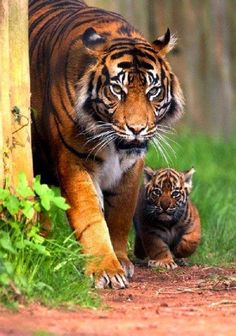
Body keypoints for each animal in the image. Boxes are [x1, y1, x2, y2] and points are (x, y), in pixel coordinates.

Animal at [29, 0, 184, 288]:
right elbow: (90, 218)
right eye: (117, 90)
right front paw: (106, 270)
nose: (137, 129)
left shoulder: (132, 167)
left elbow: (120, 215)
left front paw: (121, 260)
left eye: (153, 91)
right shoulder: (74, 162)